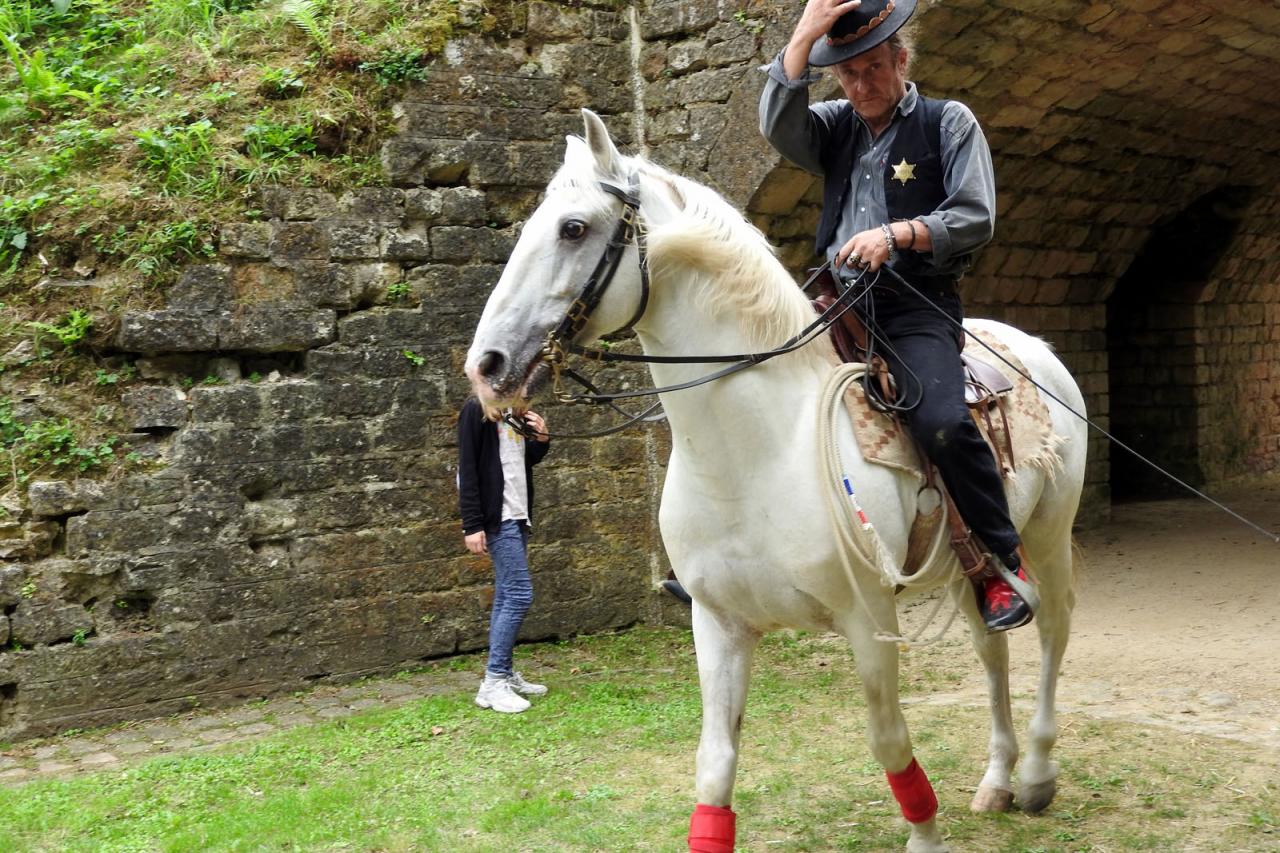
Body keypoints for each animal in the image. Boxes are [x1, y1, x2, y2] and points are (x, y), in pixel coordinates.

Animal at [465, 109, 1087, 853]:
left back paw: (1038, 773)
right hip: (973, 572)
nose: (487, 365)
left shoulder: (868, 620)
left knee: (1052, 632)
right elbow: (714, 764)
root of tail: (1038, 349)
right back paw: (997, 776)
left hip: (1046, 535)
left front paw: (925, 831)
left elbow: (890, 742)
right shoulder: (719, 624)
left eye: (573, 228)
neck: (755, 451)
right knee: (992, 646)